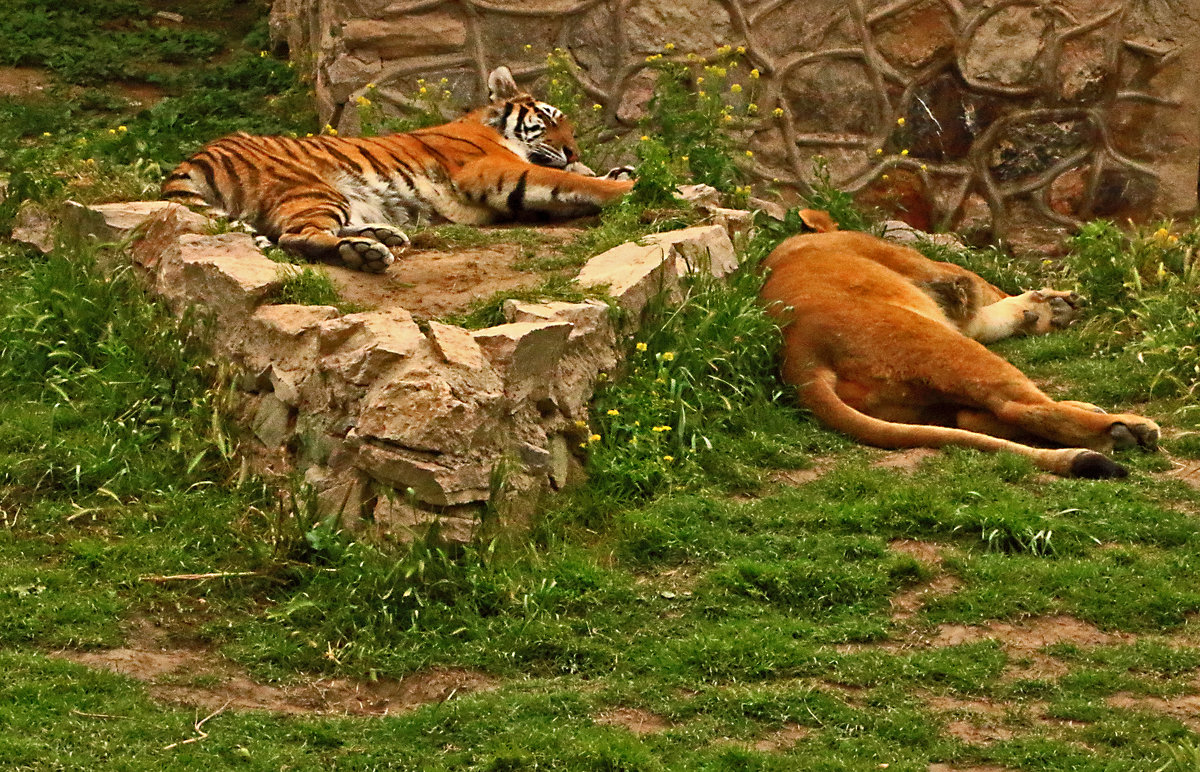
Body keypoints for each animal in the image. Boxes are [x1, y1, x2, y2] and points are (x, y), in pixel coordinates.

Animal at [162, 65, 638, 274]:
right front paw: (631, 187)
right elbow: (565, 180)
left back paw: (380, 237)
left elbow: (578, 180)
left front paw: (617, 172)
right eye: (551, 119)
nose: (573, 148)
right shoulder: (489, 169)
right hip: (312, 188)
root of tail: (195, 156)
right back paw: (366, 252)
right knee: (295, 237)